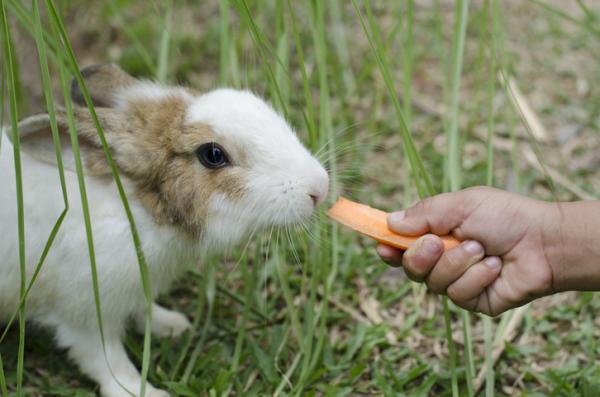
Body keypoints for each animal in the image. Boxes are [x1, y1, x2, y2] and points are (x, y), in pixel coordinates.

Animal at [0, 63, 328, 394]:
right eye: (213, 155)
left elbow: (143, 310)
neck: (139, 208)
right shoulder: (86, 312)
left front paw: (171, 325)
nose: (320, 187)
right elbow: (106, 360)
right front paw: (141, 391)